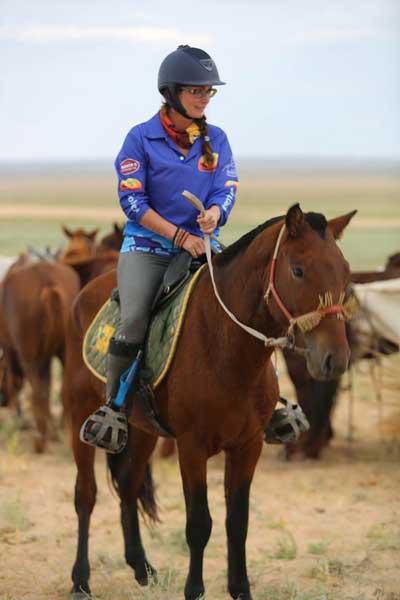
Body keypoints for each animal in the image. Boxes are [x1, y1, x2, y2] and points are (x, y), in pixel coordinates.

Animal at [63, 203, 356, 600]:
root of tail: (85, 292)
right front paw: (194, 590)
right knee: (86, 495)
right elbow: (199, 523)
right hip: (79, 413)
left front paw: (241, 589)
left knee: (128, 485)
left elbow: (238, 521)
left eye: (345, 271)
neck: (225, 347)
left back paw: (141, 567)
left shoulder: (248, 446)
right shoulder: (192, 447)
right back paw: (80, 580)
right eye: (298, 270)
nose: (334, 359)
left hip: (144, 431)